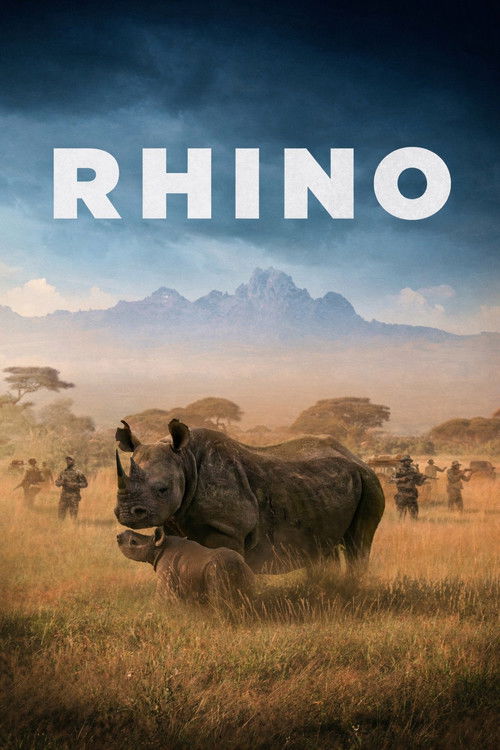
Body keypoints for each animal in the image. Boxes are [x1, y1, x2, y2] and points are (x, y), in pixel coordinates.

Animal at [114, 419, 384, 573]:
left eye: (163, 490)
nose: (127, 513)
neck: (185, 460)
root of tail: (356, 457)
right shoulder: (175, 521)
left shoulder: (227, 528)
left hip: (370, 482)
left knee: (359, 543)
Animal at [117, 527, 255, 602]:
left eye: (133, 542)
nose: (118, 536)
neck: (157, 547)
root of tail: (239, 563)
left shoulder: (165, 574)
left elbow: (161, 598)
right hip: (245, 570)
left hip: (217, 569)